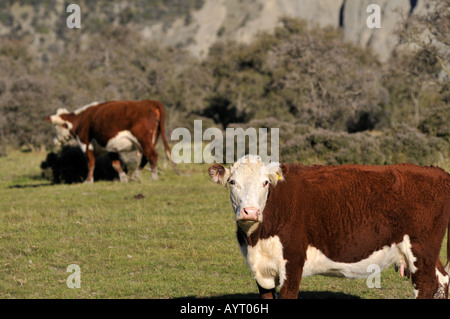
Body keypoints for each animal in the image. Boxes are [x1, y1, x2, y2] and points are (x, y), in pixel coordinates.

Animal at [46, 100, 178, 185]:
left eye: (55, 126)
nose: (55, 141)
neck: (81, 119)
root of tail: (150, 102)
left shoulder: (86, 145)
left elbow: (91, 164)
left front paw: (88, 181)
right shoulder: (111, 147)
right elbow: (115, 164)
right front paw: (123, 178)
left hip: (143, 139)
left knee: (152, 155)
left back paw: (153, 177)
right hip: (152, 139)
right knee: (146, 157)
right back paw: (135, 176)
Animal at [209, 156, 450, 300]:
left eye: (265, 183)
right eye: (232, 182)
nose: (250, 211)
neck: (256, 239)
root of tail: (436, 171)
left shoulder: (292, 263)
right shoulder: (262, 272)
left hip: (421, 248)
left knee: (427, 285)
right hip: (426, 252)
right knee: (442, 278)